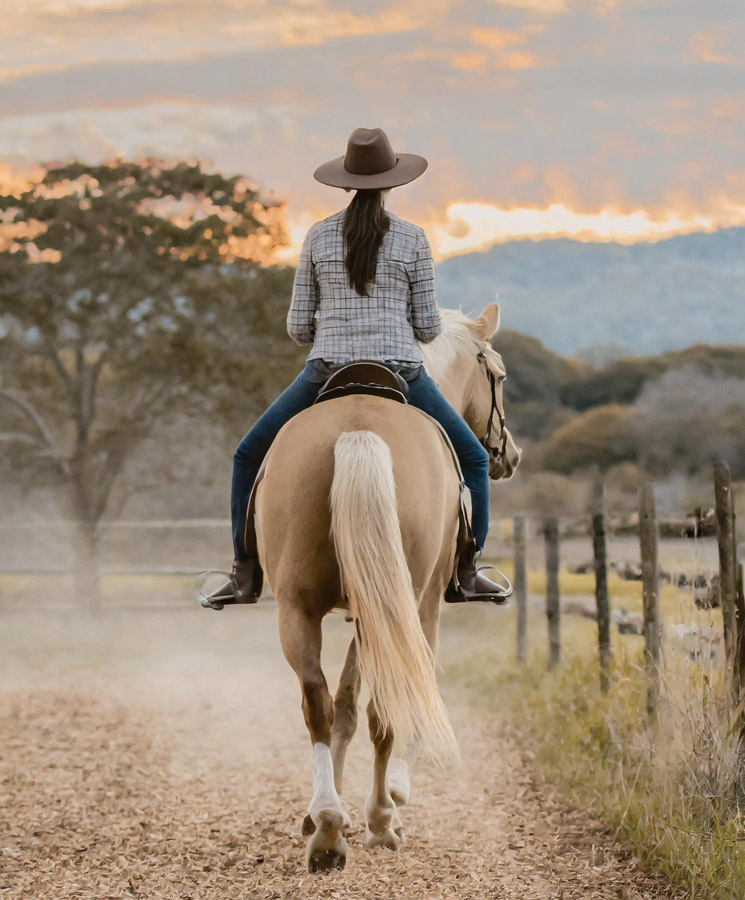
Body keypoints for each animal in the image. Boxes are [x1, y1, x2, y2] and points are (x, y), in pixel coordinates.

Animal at [253, 302, 520, 872]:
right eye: (500, 376)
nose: (510, 455)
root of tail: (358, 432)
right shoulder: (424, 607)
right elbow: (409, 696)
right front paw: (393, 798)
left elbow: (343, 707)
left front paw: (318, 809)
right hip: (401, 604)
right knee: (385, 706)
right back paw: (376, 819)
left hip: (297, 609)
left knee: (318, 701)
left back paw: (328, 826)